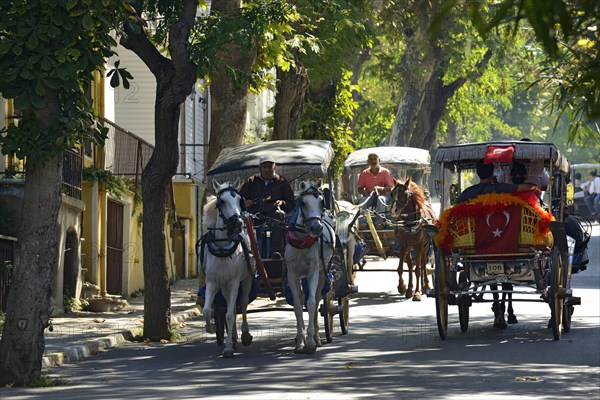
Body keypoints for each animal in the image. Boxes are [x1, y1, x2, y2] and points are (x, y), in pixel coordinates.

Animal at [200, 180, 254, 358]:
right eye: (221, 202)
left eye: (239, 200)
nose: (238, 223)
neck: (223, 247)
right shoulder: (212, 282)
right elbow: (206, 309)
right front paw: (210, 328)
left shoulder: (235, 282)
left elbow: (230, 315)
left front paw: (229, 348)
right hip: (224, 286)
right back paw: (235, 337)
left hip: (247, 279)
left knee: (242, 303)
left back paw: (245, 335)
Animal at [282, 180, 336, 354]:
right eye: (303, 203)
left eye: (322, 202)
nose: (316, 228)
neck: (301, 240)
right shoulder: (292, 275)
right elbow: (298, 307)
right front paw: (300, 341)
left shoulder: (313, 272)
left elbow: (311, 303)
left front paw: (311, 342)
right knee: (300, 298)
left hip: (322, 272)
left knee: (318, 298)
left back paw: (317, 337)